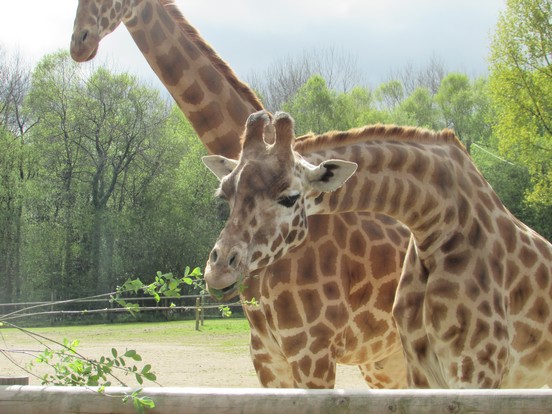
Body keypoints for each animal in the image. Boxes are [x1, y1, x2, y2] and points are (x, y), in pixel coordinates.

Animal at [70, 0, 410, 388]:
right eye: (224, 195)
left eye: (290, 197)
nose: (80, 43)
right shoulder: (265, 354)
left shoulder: (313, 351)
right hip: (382, 359)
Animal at [205, 109, 552, 388]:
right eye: (225, 194)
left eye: (289, 198)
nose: (218, 270)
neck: (438, 224)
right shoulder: (421, 370)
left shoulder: (479, 368)